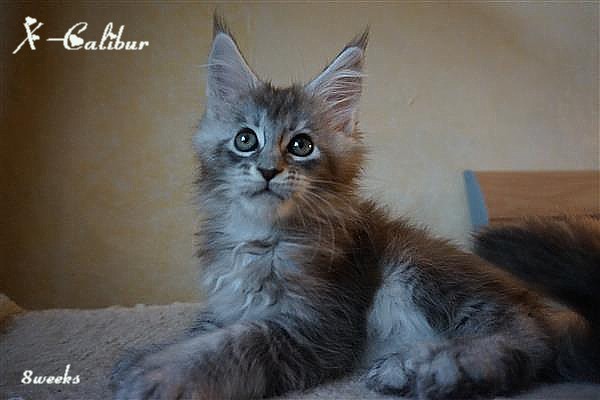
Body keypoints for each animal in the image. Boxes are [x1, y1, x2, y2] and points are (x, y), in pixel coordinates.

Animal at [110, 15, 600, 400]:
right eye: (245, 139)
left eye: (301, 145)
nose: (268, 170)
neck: (261, 238)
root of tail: (530, 297)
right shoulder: (225, 306)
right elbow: (203, 334)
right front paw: (153, 357)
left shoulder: (319, 324)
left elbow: (236, 343)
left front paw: (159, 374)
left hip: (417, 269)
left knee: (524, 338)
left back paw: (430, 367)